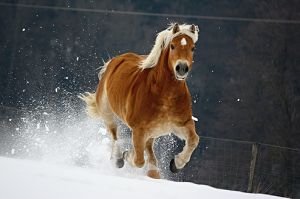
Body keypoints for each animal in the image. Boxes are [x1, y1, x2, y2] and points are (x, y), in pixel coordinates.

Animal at [81, 23, 200, 179]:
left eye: (193, 48)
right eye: (173, 46)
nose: (182, 68)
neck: (165, 96)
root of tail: (114, 61)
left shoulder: (183, 124)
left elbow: (194, 140)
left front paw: (176, 164)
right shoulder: (138, 130)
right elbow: (138, 160)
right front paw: (127, 155)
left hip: (153, 131)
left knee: (149, 150)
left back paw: (153, 172)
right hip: (108, 113)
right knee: (114, 134)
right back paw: (119, 159)